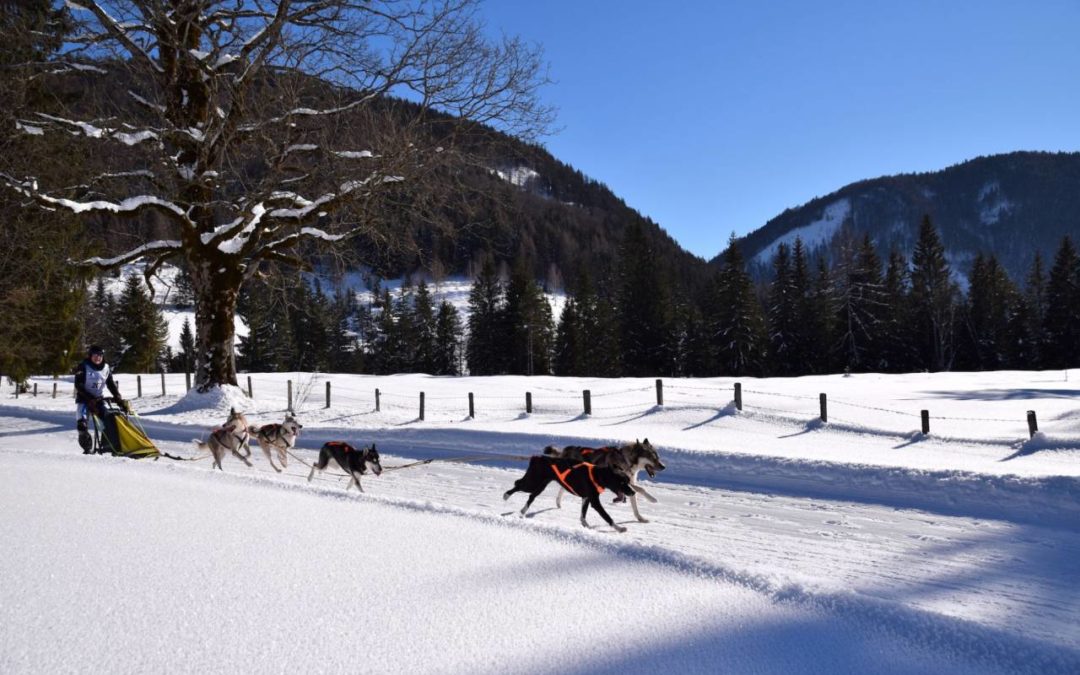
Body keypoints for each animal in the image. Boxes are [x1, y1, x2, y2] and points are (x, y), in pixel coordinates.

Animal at [503, 456, 636, 532]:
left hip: (541, 485)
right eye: (622, 482)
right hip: (533, 482)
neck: (598, 475)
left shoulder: (586, 498)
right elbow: (607, 516)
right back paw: (506, 495)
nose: (633, 492)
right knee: (518, 485)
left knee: (531, 496)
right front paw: (619, 528)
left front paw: (586, 526)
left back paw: (522, 512)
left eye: (628, 481)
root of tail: (537, 458)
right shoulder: (594, 501)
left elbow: (583, 515)